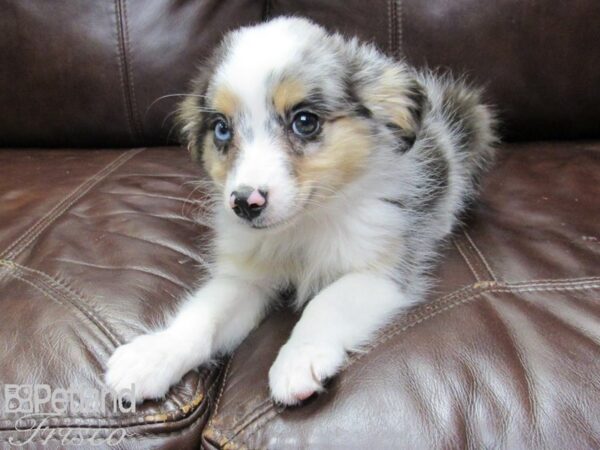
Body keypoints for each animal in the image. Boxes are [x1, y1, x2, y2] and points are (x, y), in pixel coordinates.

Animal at [104, 16, 496, 404]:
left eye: (305, 121)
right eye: (221, 129)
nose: (244, 203)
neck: (303, 226)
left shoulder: (382, 269)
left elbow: (326, 302)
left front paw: (299, 359)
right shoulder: (245, 276)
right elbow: (205, 313)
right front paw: (154, 354)